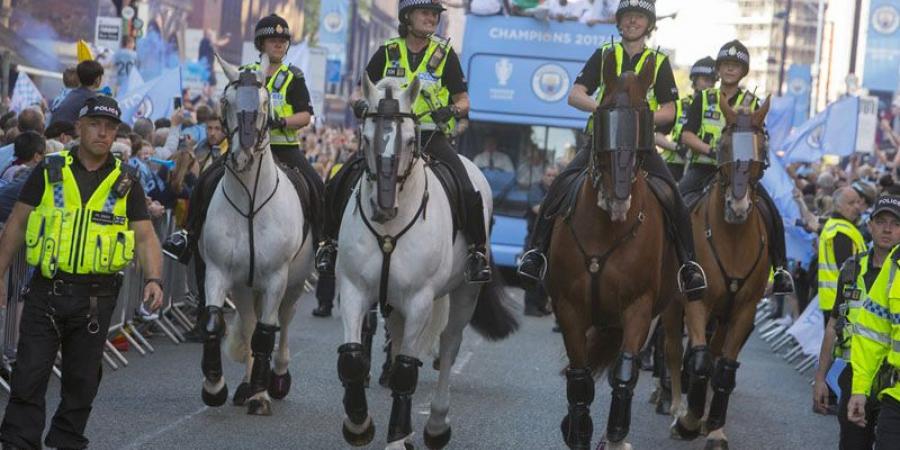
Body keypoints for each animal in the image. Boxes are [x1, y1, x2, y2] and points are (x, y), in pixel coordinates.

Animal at [199, 54, 314, 416]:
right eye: (226, 102)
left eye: (264, 104)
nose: (243, 155)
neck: (250, 202)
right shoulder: (218, 271)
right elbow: (215, 323)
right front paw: (215, 387)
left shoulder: (277, 277)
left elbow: (266, 332)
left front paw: (261, 397)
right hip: (246, 286)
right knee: (250, 323)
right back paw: (246, 386)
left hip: (293, 283)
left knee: (283, 322)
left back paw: (276, 380)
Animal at [334, 75, 516, 448]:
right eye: (365, 137)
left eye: (408, 139)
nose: (383, 208)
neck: (390, 228)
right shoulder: (355, 289)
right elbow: (353, 358)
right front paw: (359, 424)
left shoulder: (420, 298)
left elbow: (407, 369)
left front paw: (397, 437)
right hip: (393, 301)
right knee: (399, 338)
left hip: (464, 293)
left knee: (448, 347)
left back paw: (435, 424)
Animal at [544, 50, 680, 450]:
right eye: (604, 112)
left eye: (645, 115)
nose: (619, 199)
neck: (607, 229)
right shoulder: (569, 306)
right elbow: (579, 373)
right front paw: (576, 431)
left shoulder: (638, 306)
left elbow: (624, 373)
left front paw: (616, 434)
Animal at [660, 96, 772, 450]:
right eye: (723, 145)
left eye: (762, 146)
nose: (737, 208)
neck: (733, 238)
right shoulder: (698, 301)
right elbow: (698, 361)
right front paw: (688, 421)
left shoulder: (744, 310)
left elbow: (723, 368)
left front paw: (715, 430)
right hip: (673, 307)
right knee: (672, 349)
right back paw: (675, 405)